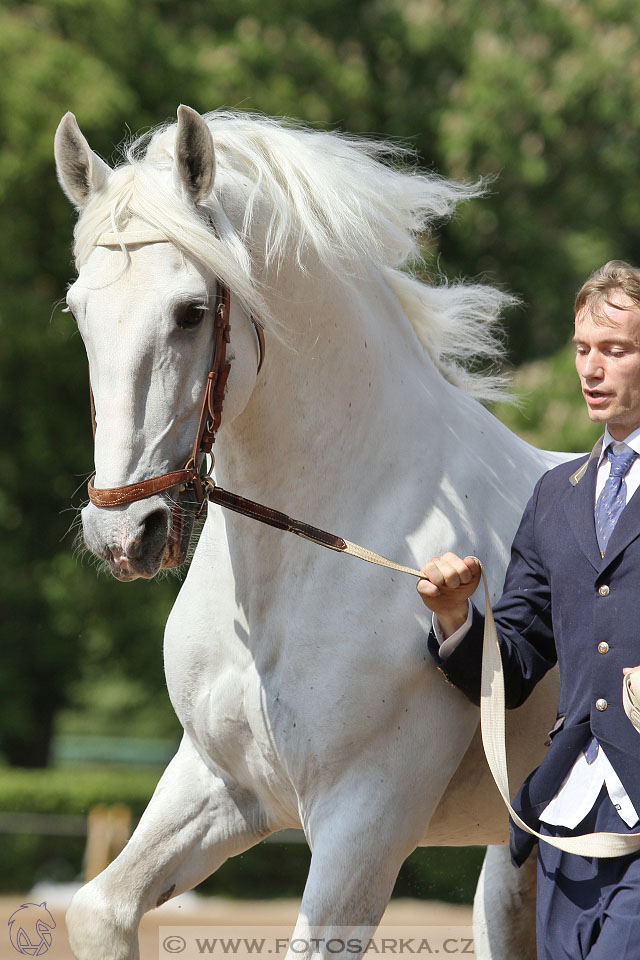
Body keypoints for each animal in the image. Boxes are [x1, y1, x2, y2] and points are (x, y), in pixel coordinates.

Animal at [55, 105, 564, 960]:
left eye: (192, 312)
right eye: (79, 309)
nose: (124, 532)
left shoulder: (364, 821)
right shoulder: (221, 783)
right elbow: (100, 909)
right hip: (512, 874)